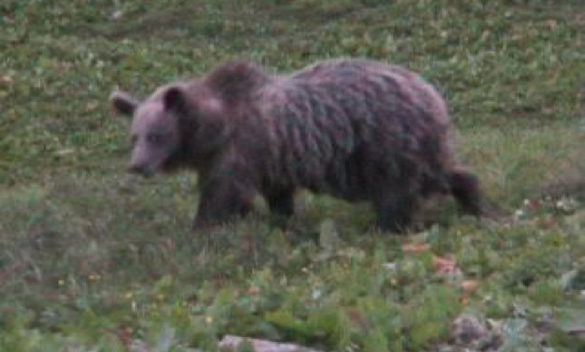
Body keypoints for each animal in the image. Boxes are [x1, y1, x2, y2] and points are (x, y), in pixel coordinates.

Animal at [108, 58, 480, 232]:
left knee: (397, 192)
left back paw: (386, 226)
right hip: (412, 147)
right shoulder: (270, 159)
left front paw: (202, 226)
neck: (213, 131)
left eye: (157, 135)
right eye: (134, 136)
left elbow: (222, 195)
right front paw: (279, 221)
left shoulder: (242, 150)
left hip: (385, 143)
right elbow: (277, 197)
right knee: (442, 173)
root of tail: (432, 94)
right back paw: (475, 203)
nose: (137, 165)